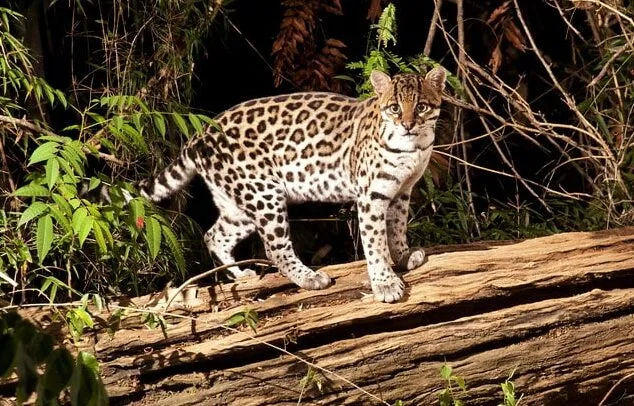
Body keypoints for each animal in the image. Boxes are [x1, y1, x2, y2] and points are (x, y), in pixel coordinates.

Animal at [139, 67, 444, 302]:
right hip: (264, 193)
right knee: (276, 249)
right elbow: (375, 242)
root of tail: (199, 134)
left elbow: (397, 227)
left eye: (421, 106)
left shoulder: (402, 192)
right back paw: (310, 278)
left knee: (214, 235)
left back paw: (240, 275)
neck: (413, 147)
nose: (407, 125)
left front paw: (403, 256)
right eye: (395, 108)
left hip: (238, 204)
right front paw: (385, 283)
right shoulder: (371, 196)